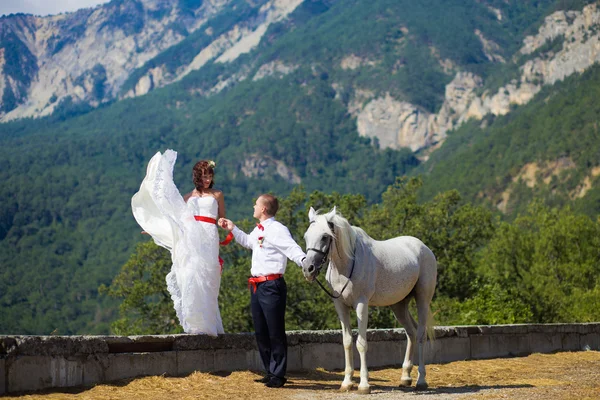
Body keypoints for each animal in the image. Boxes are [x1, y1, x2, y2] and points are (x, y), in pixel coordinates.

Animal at [302, 206, 438, 394]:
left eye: (324, 236)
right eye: (306, 236)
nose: (308, 269)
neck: (347, 266)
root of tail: (424, 248)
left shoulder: (361, 304)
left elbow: (361, 343)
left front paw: (364, 385)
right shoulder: (340, 305)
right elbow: (346, 342)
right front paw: (346, 383)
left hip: (423, 299)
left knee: (420, 335)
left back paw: (421, 380)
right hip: (399, 305)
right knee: (411, 332)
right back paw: (405, 377)